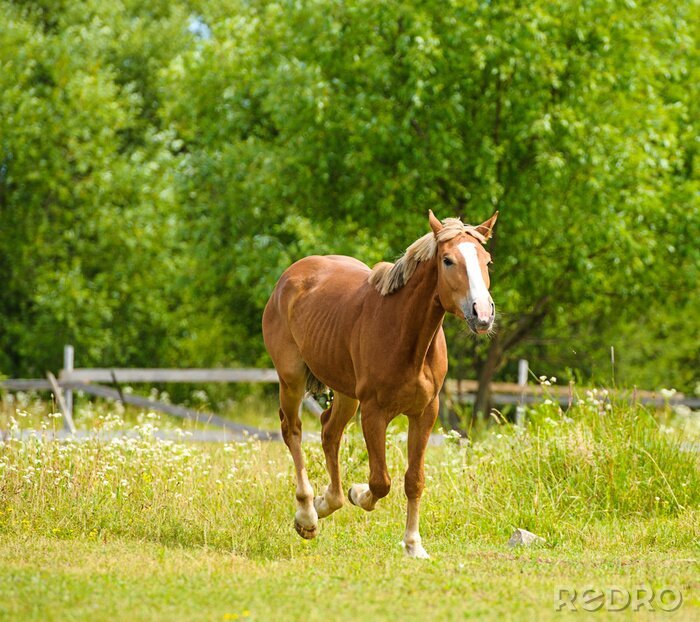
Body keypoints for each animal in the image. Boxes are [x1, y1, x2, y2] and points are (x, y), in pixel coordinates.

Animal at [262, 210, 498, 558]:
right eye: (448, 260)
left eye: (487, 261)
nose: (482, 314)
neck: (406, 335)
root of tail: (289, 277)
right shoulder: (374, 413)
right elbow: (380, 481)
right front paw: (358, 494)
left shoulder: (425, 413)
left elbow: (414, 479)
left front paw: (413, 544)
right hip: (291, 380)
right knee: (293, 431)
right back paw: (307, 515)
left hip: (346, 393)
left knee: (329, 431)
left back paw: (326, 502)